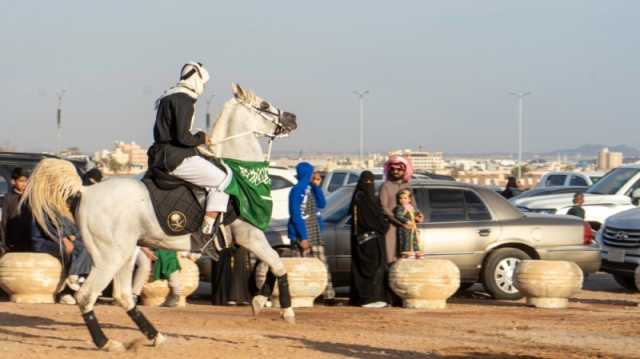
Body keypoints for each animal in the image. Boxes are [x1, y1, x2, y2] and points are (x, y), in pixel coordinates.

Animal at [22, 83, 298, 352]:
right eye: (264, 105)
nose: (292, 118)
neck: (242, 174)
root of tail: (85, 191)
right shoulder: (249, 235)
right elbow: (278, 264)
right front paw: (285, 310)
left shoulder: (252, 237)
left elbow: (273, 265)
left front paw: (260, 300)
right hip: (109, 258)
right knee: (87, 296)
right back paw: (107, 343)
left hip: (124, 255)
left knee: (123, 295)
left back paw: (155, 336)